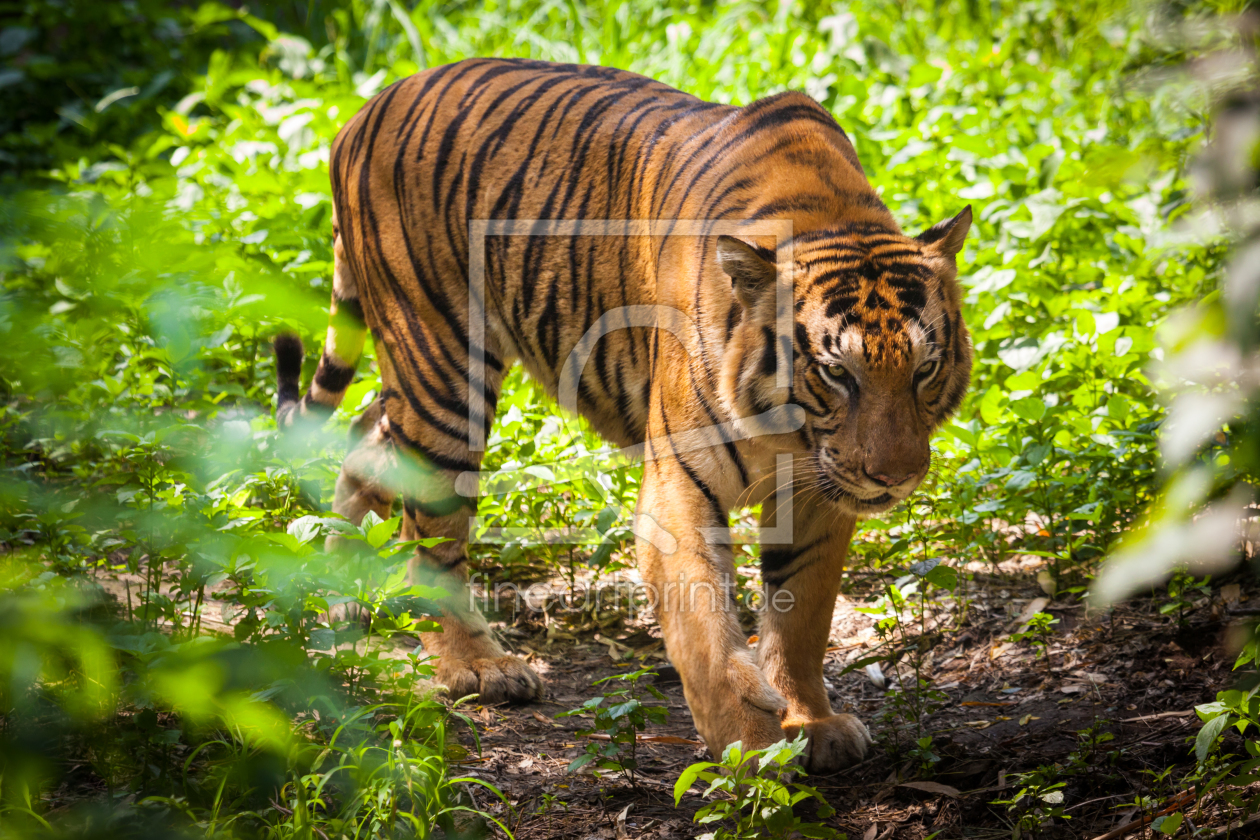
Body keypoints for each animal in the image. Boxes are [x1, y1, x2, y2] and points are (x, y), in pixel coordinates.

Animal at [270, 55, 967, 770]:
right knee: (428, 532)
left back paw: (341, 601)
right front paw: (751, 750)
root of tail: (363, 110)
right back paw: (478, 666)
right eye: (837, 373)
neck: (789, 437)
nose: (895, 476)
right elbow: (705, 627)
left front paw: (813, 724)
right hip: (443, 368)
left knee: (366, 438)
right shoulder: (681, 484)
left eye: (924, 369)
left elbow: (801, 619)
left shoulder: (819, 494)